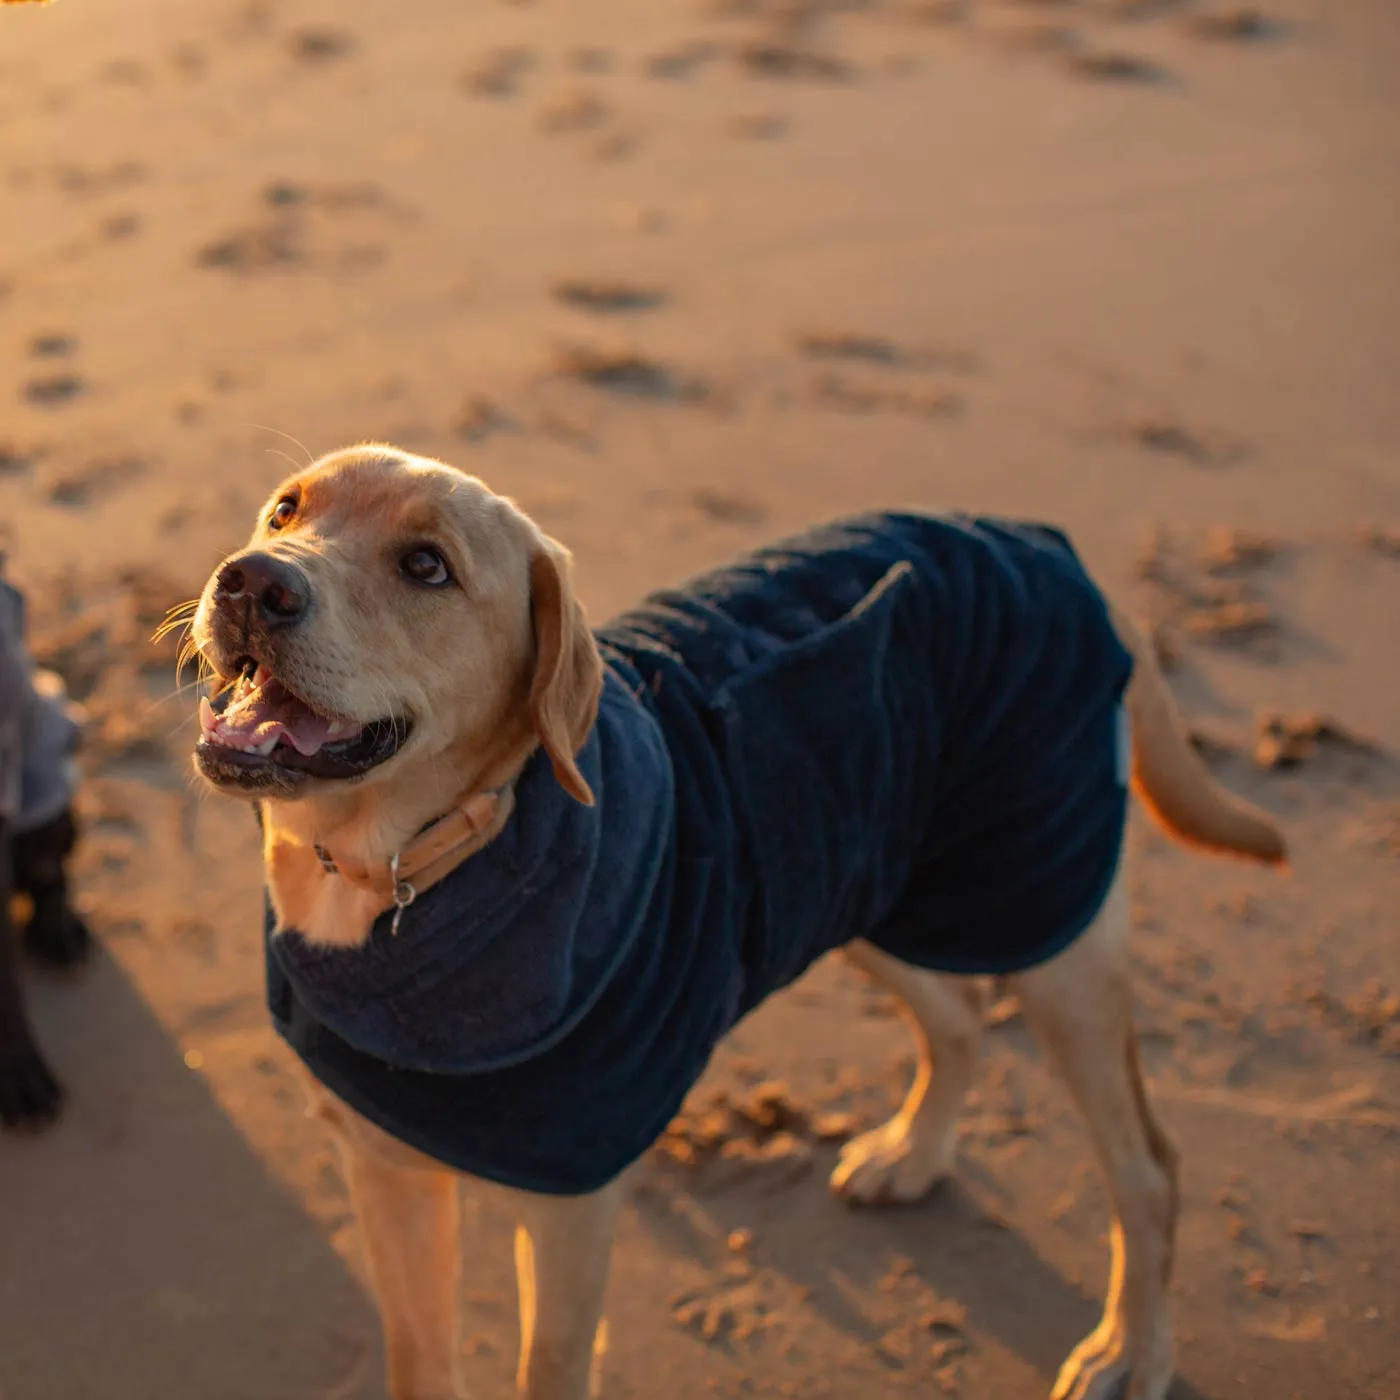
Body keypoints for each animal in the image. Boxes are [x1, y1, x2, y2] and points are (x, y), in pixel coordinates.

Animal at [191, 445, 1282, 1400]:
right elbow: (419, 1356)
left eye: (427, 566)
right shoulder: (385, 1173)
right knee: (960, 1020)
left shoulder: (570, 1212)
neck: (404, 869)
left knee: (1147, 1167)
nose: (249, 582)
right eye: (286, 510)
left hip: (1046, 916)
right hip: (858, 877)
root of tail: (1045, 546)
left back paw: (1128, 1350)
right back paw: (914, 1155)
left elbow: (549, 1369)